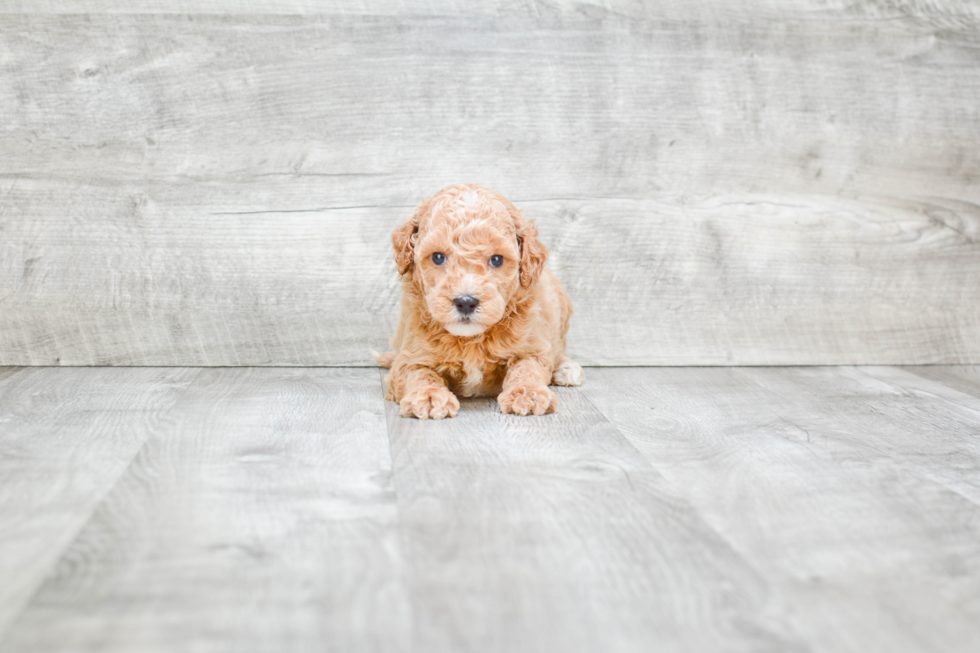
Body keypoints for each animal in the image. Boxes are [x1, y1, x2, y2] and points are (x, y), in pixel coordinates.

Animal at [376, 183, 580, 418]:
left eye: (497, 260)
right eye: (438, 257)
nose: (466, 302)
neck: (470, 340)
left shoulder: (532, 346)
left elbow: (528, 367)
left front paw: (527, 393)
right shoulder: (410, 356)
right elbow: (417, 373)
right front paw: (429, 396)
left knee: (559, 348)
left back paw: (566, 369)